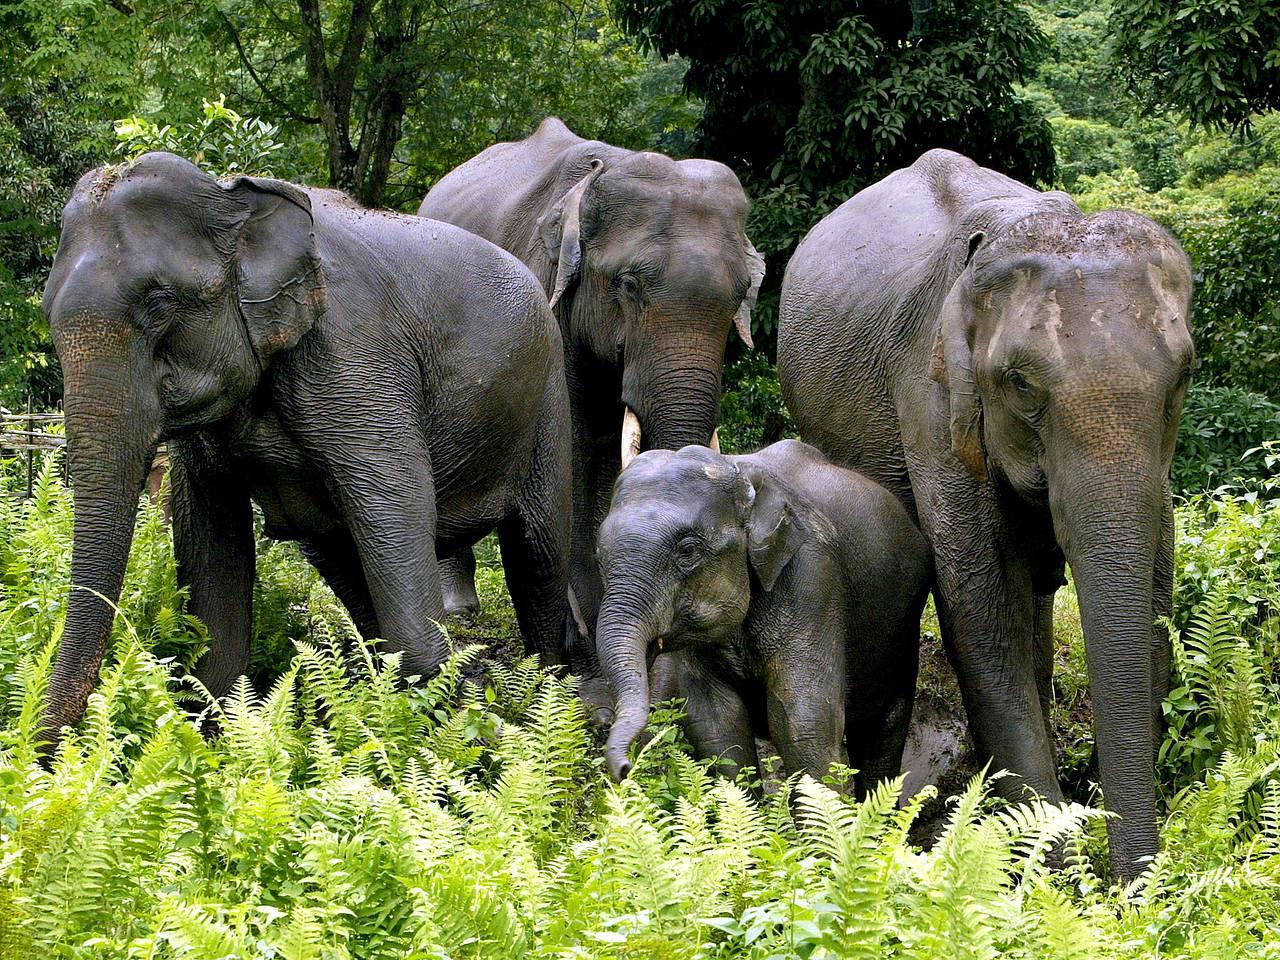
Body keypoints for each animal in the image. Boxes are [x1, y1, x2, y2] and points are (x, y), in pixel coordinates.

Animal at [39, 151, 571, 749]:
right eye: (46, 311)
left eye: (158, 304)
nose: (39, 754)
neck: (232, 197)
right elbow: (211, 540)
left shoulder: (357, 360)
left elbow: (395, 510)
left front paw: (447, 737)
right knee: (341, 557)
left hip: (549, 395)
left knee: (538, 551)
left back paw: (548, 700)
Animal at [417, 117, 764, 687]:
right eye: (629, 285)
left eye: (741, 295)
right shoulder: (546, 302)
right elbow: (575, 451)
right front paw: (583, 655)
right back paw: (459, 609)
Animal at [595, 441, 931, 790]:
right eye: (599, 557)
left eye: (687, 550)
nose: (624, 770)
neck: (737, 470)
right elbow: (717, 724)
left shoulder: (811, 577)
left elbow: (803, 724)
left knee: (883, 727)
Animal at [777, 149, 1194, 879]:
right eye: (1020, 384)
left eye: (1184, 379)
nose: (1132, 891)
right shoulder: (931, 391)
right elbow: (982, 606)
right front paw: (1052, 869)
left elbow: (1154, 591)